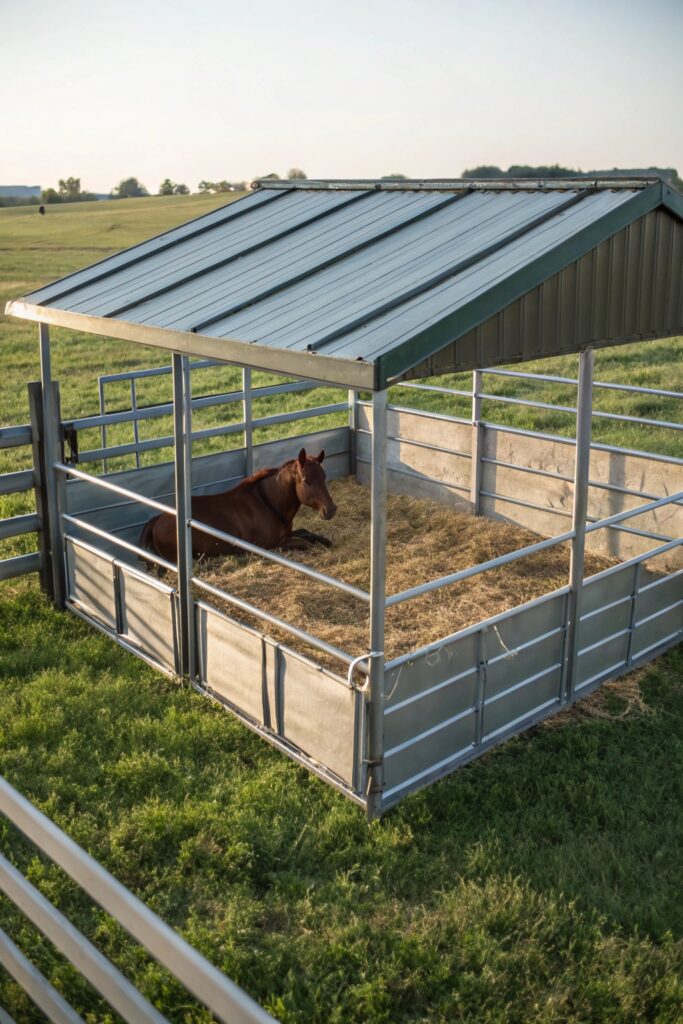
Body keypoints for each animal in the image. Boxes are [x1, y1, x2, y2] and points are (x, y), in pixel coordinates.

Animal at [139, 448, 337, 563]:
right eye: (306, 480)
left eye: (324, 476)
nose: (331, 510)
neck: (267, 504)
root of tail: (158, 519)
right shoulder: (268, 547)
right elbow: (305, 542)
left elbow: (307, 533)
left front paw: (325, 541)